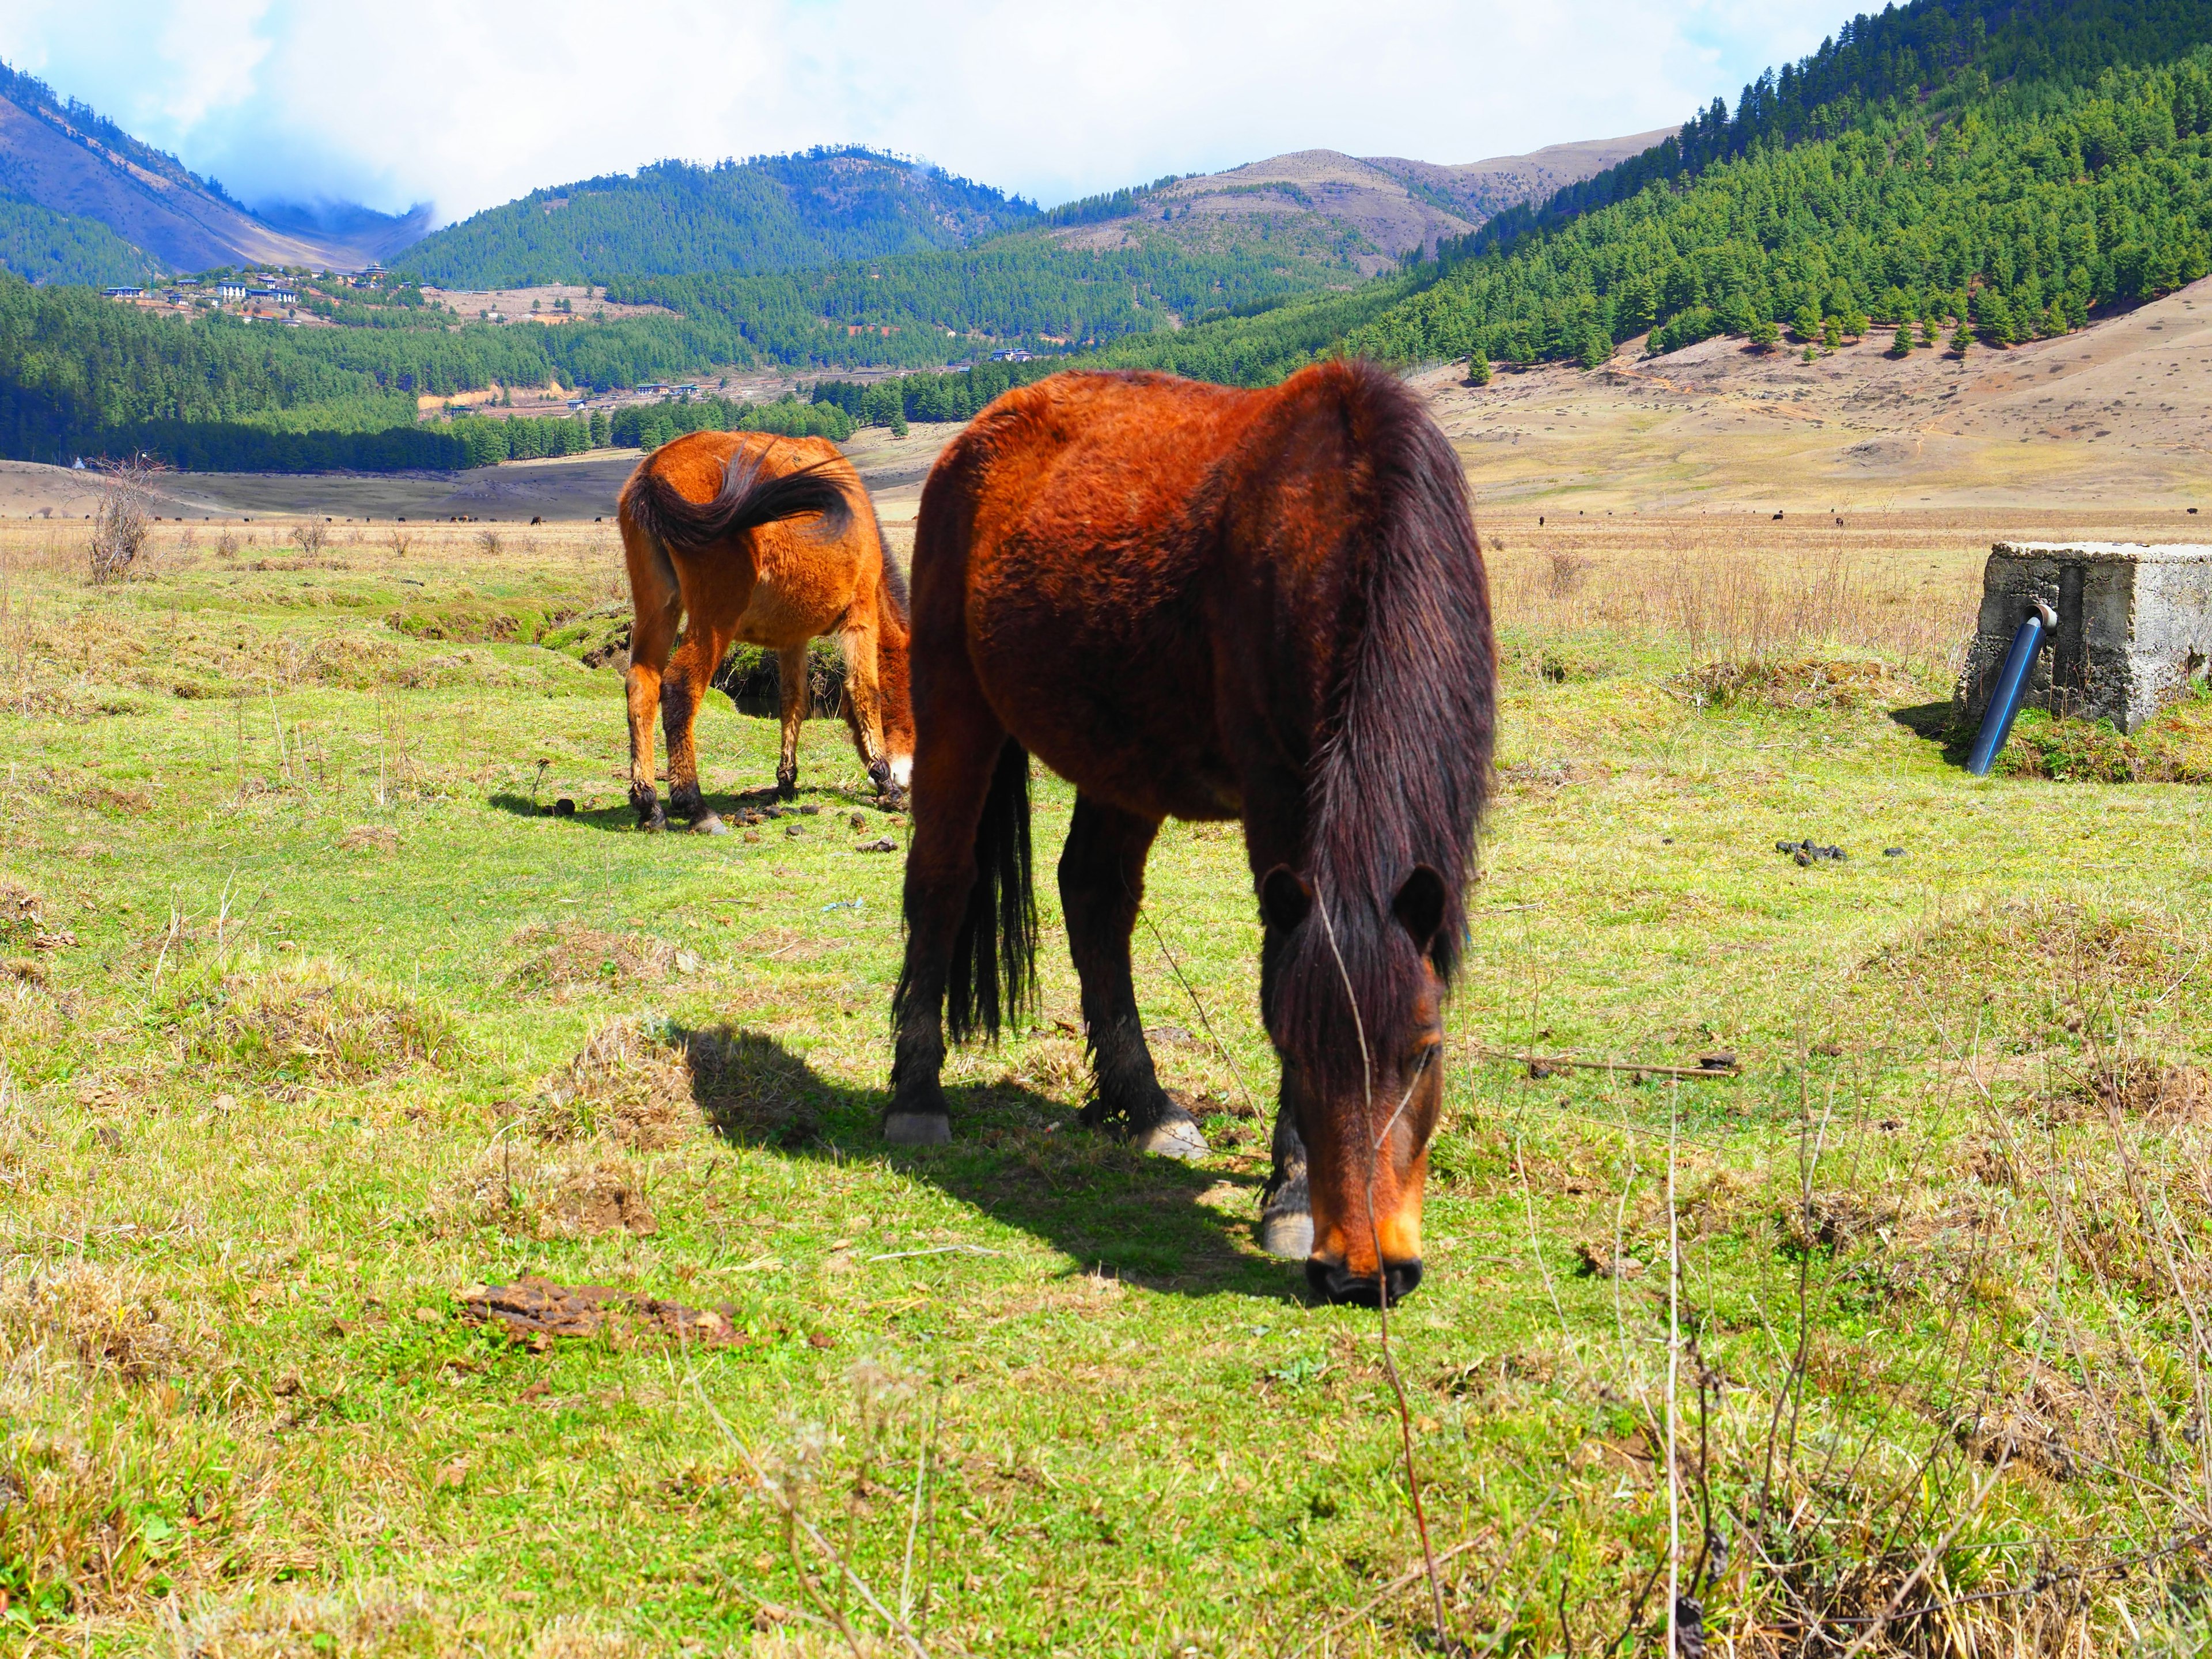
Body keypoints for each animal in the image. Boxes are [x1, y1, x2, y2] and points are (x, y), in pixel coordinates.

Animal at [619, 429, 911, 831]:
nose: (907, 778)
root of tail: (654, 471)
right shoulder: (860, 615)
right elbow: (865, 691)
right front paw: (886, 786)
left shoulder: (794, 638)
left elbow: (794, 701)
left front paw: (787, 780)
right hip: (715, 619)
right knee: (680, 687)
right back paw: (694, 805)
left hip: (658, 609)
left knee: (642, 685)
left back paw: (649, 803)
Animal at [889, 362, 1495, 1309]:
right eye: (1292, 1048)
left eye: (1427, 1054)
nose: (1364, 1274)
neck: (1345, 523)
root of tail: (975, 437)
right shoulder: (1280, 794)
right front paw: (1293, 1195)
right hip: (956, 707)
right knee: (942, 882)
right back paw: (916, 1097)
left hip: (1121, 755)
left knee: (1094, 895)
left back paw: (1147, 1108)